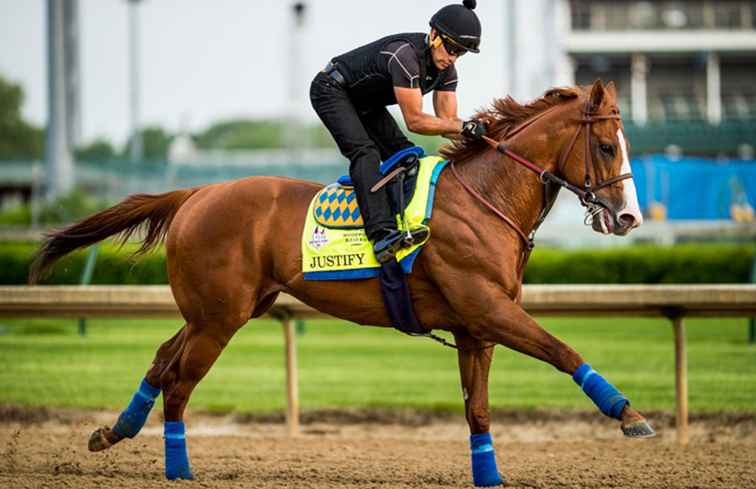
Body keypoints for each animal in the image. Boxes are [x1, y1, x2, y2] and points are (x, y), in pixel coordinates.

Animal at [29, 79, 652, 484]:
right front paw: (630, 414)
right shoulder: (488, 308)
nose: (628, 218)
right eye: (605, 146)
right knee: (180, 383)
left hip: (223, 309)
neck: (486, 197)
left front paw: (491, 476)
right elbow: (563, 350)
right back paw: (178, 470)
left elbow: (478, 410)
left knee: (162, 361)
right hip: (219, 318)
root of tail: (195, 193)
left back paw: (114, 431)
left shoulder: (476, 328)